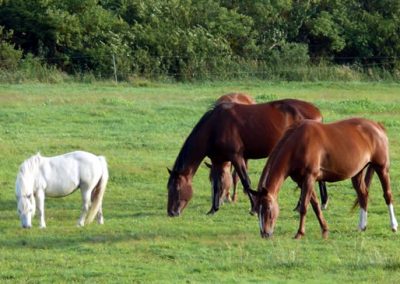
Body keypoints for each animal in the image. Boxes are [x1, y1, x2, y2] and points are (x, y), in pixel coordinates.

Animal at [167, 98, 326, 216]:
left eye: (177, 188)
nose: (171, 212)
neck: (214, 126)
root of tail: (317, 112)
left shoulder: (237, 157)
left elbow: (246, 182)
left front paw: (254, 208)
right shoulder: (218, 160)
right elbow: (218, 183)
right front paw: (213, 209)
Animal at [248, 117, 398, 240]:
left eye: (267, 208)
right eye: (257, 208)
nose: (265, 233)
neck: (298, 143)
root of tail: (377, 126)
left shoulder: (309, 178)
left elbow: (304, 206)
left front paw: (299, 233)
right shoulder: (302, 181)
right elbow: (315, 206)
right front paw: (325, 230)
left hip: (382, 168)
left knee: (387, 195)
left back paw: (393, 226)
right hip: (358, 173)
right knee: (363, 195)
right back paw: (362, 226)